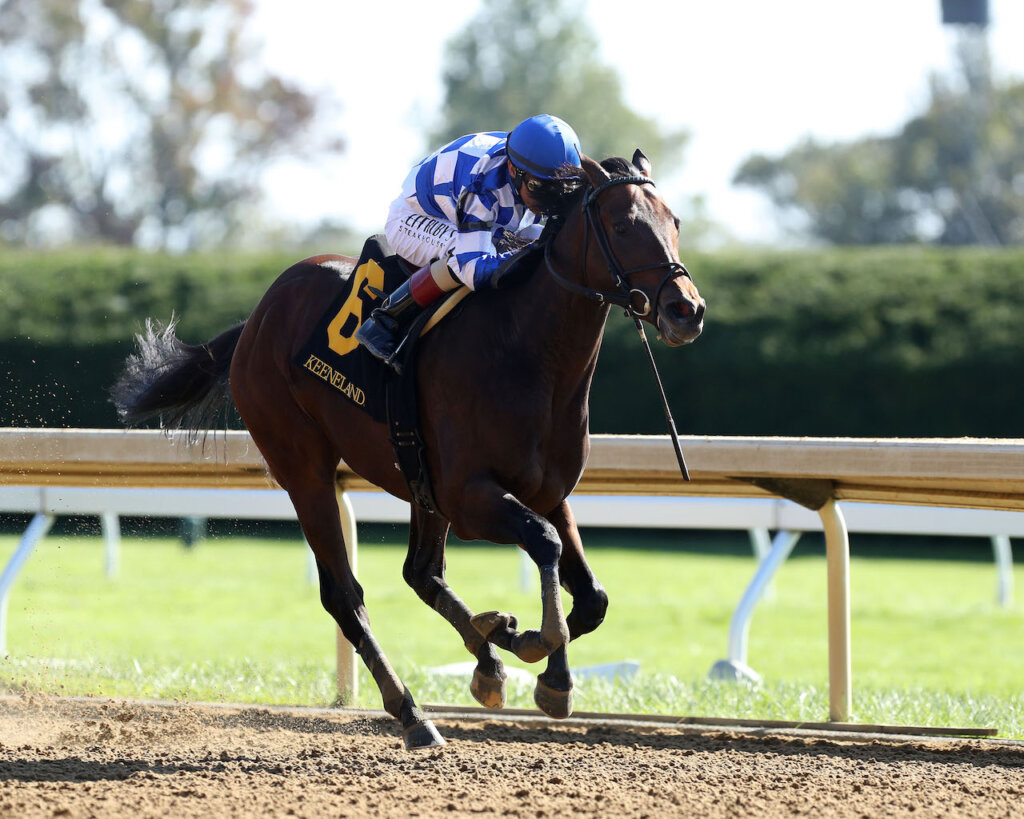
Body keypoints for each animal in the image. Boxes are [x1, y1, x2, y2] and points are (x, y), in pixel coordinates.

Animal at [112, 150, 704, 753]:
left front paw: (520, 645)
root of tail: (254, 320)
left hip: (417, 480)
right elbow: (544, 545)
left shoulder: (547, 490)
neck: (527, 353)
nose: (686, 310)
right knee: (344, 595)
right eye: (623, 226)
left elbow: (589, 595)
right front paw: (543, 661)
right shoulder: (469, 497)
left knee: (421, 572)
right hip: (304, 467)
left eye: (675, 222)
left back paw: (485, 658)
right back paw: (412, 711)